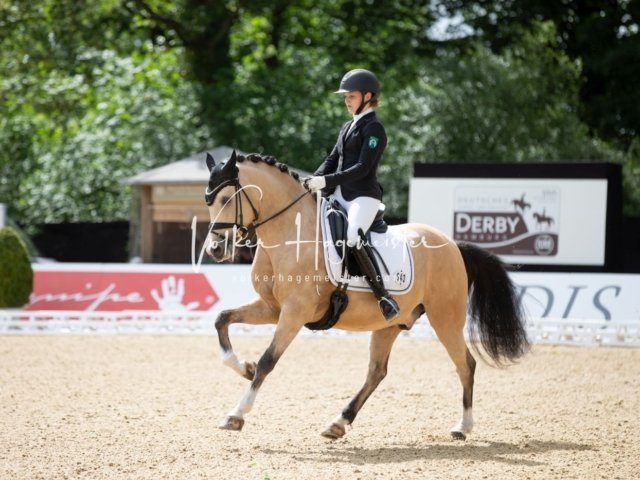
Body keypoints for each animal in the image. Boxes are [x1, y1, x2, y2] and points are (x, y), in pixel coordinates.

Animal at [204, 151, 529, 440]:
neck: (290, 236)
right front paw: (243, 367)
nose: (214, 250)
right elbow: (222, 320)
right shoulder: (272, 308)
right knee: (377, 372)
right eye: (208, 201)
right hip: (391, 323)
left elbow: (268, 360)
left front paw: (236, 414)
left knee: (465, 364)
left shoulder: (295, 312)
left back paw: (463, 427)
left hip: (445, 319)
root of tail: (452, 245)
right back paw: (338, 423)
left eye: (226, 199)